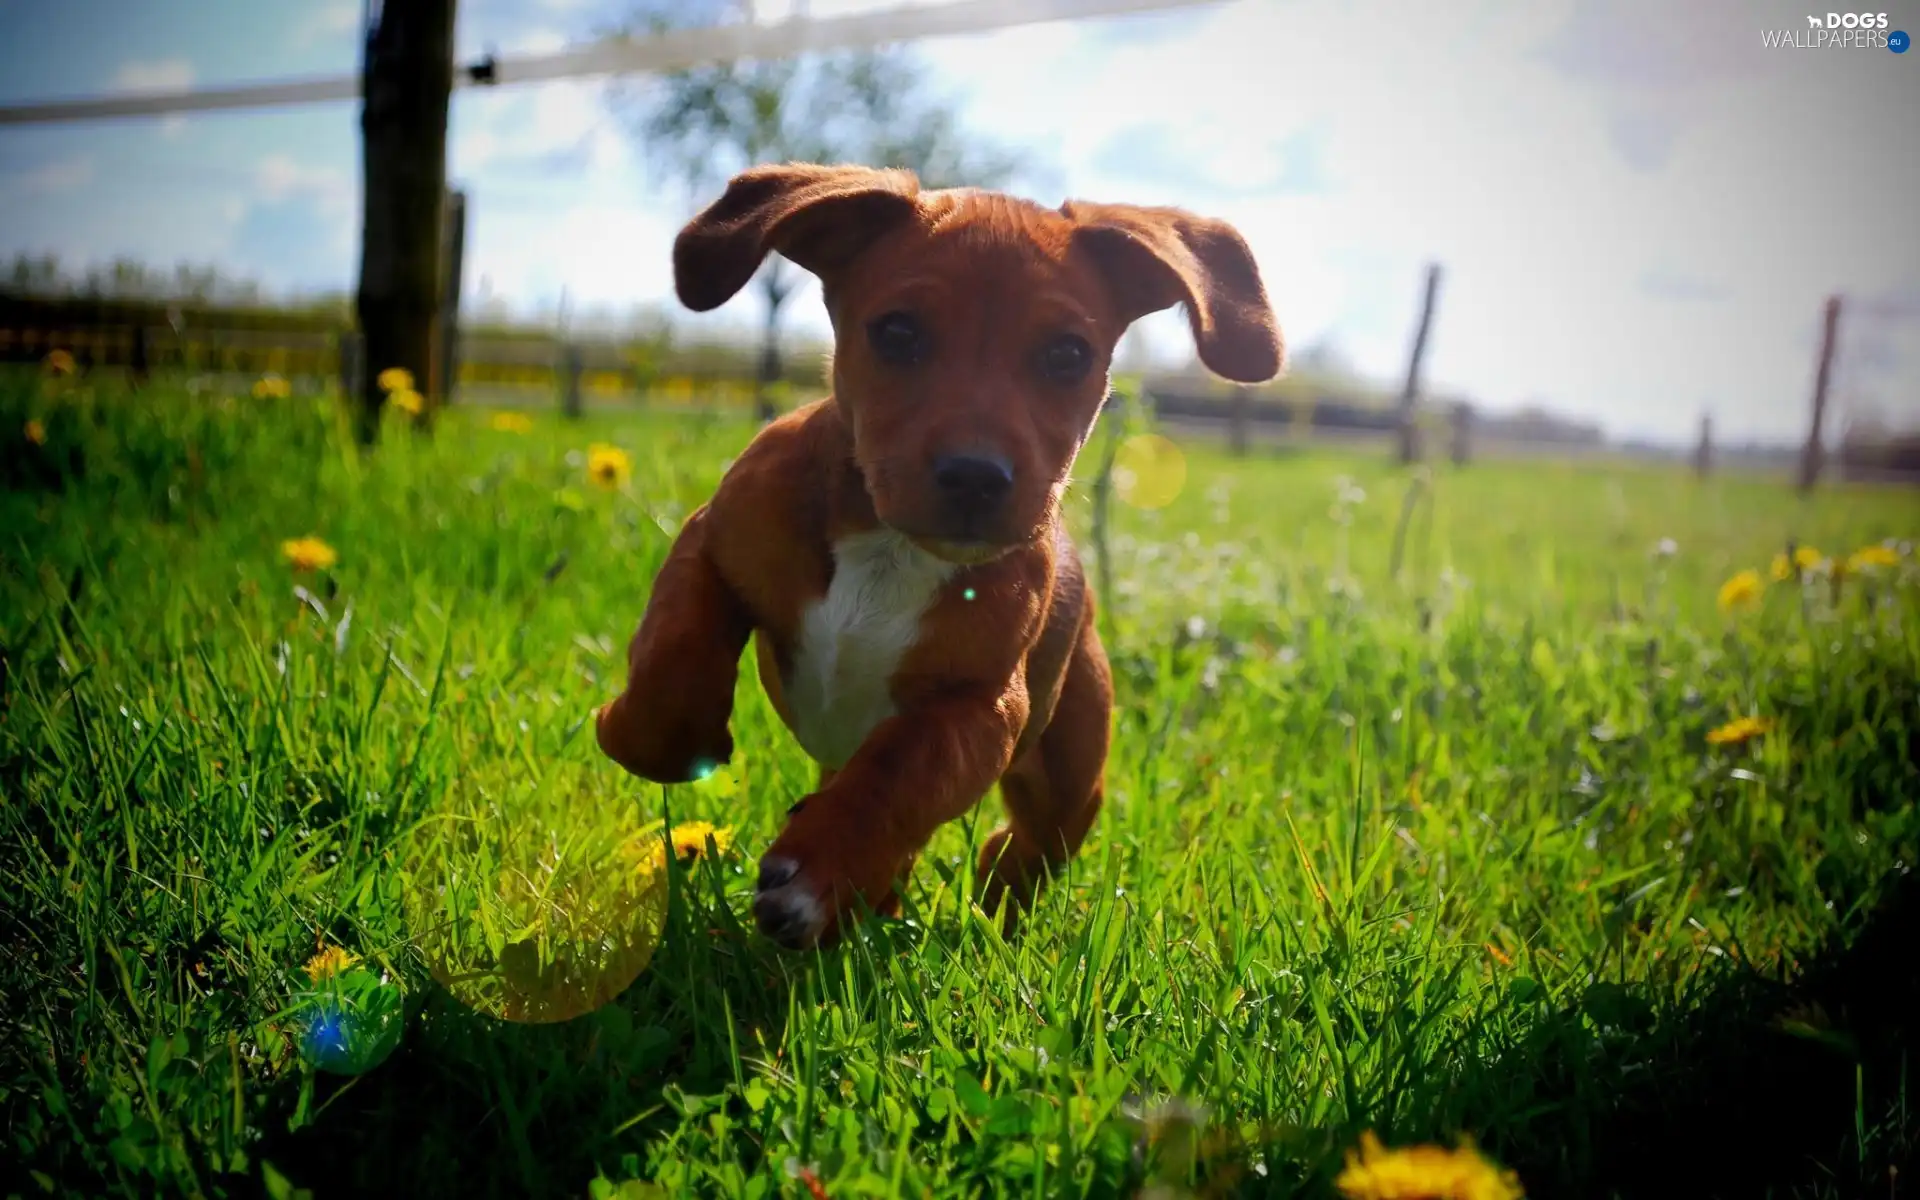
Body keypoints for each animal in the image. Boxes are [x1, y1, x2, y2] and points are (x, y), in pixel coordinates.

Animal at [587, 161, 1274, 944]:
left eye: (1068, 353)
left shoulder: (980, 706)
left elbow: (902, 770)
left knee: (1032, 839)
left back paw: (983, 896)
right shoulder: (712, 543)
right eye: (898, 332)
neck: (891, 546)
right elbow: (671, 666)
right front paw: (633, 729)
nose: (975, 475)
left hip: (1069, 769)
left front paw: (819, 874)